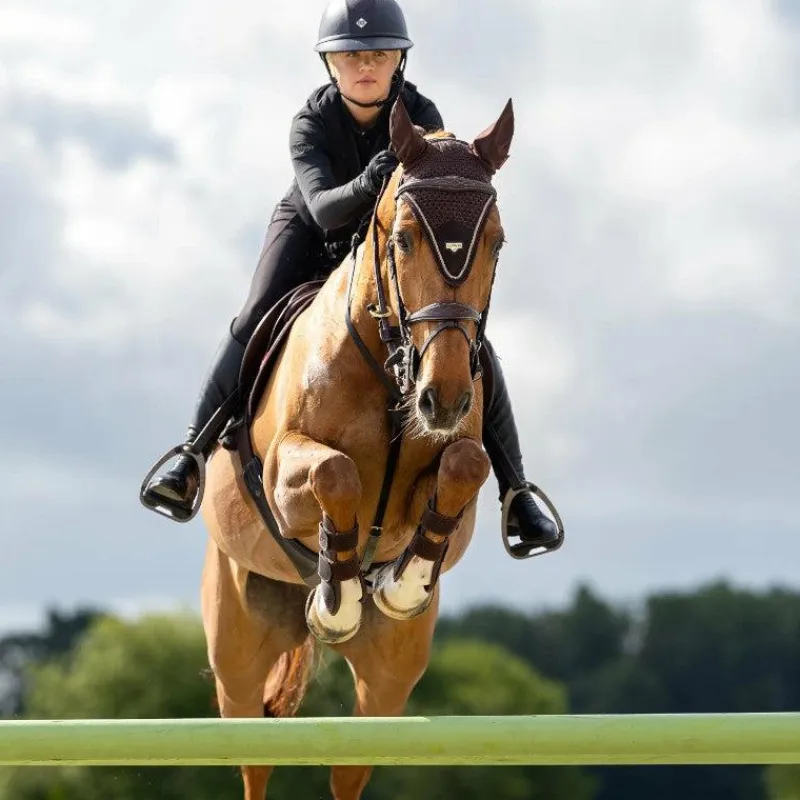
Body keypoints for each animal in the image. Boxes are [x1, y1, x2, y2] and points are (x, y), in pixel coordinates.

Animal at [198, 97, 515, 800]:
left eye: (497, 243)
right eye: (403, 240)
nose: (444, 398)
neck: (393, 368)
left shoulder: (455, 476)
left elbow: (467, 464)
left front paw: (403, 581)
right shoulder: (284, 473)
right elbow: (336, 474)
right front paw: (338, 597)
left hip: (390, 676)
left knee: (350, 765)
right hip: (238, 649)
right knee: (254, 756)